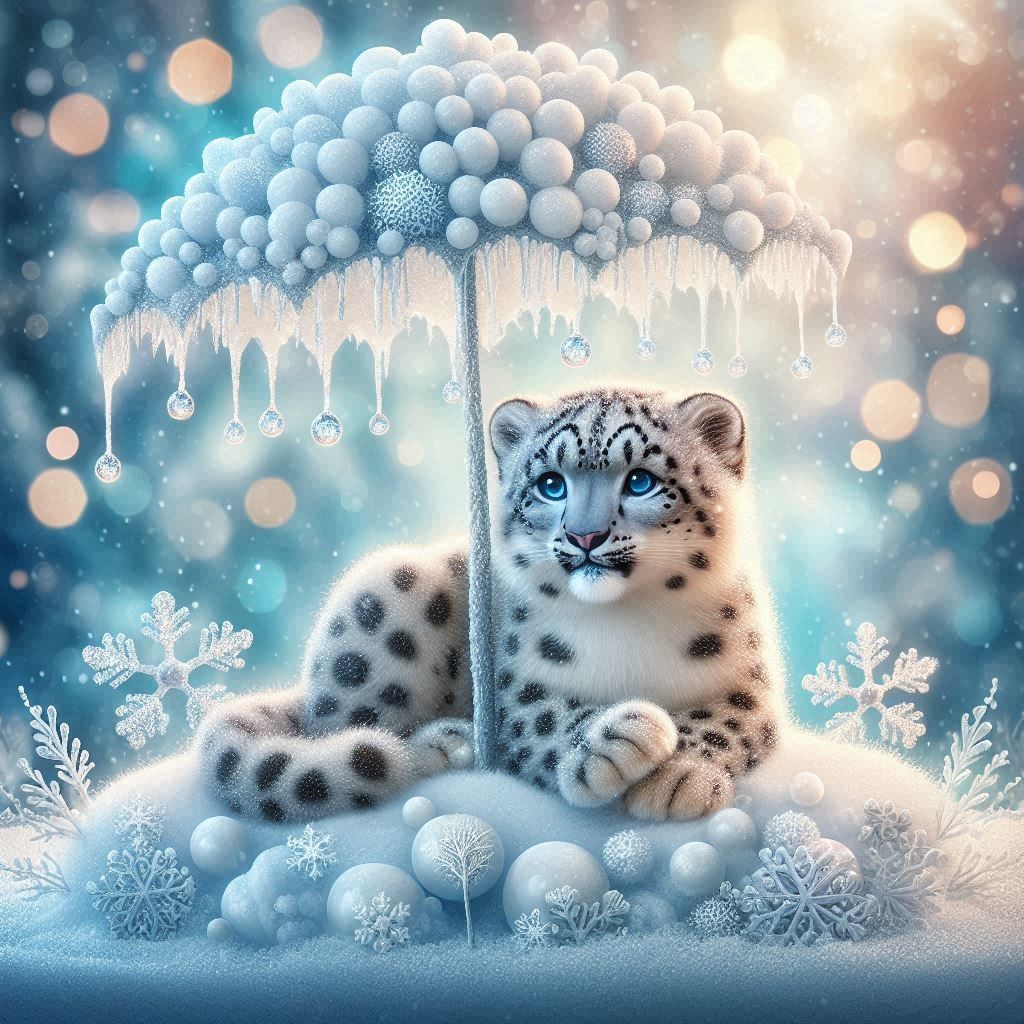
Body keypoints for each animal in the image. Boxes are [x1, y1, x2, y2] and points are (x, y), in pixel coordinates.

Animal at [196, 387, 785, 823]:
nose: (585, 536)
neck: (626, 621)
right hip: (388, 597)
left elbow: (726, 716)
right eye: (550, 484)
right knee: (346, 737)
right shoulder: (515, 688)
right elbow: (545, 716)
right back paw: (439, 745)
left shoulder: (751, 681)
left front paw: (678, 776)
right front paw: (611, 741)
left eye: (640, 480)